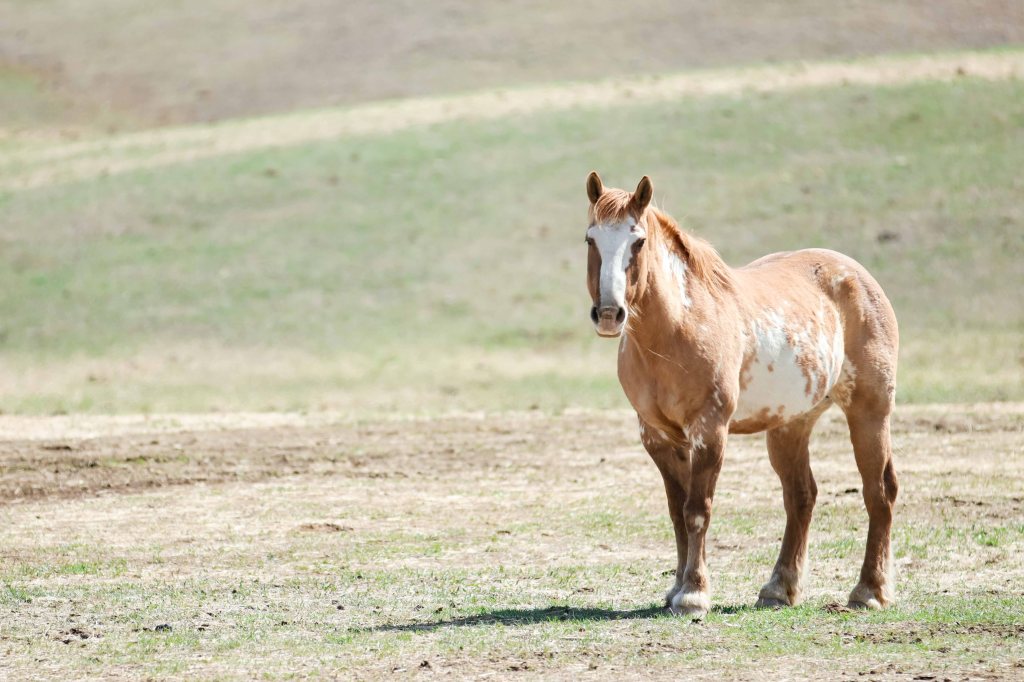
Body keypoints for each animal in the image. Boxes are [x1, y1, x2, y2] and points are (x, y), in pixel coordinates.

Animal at [583, 172, 899, 619]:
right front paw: (675, 588)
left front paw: (693, 594)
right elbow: (677, 513)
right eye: (591, 239)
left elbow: (697, 510)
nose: (610, 314)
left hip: (870, 413)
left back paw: (869, 591)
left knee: (879, 491)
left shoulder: (709, 430)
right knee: (801, 497)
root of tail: (858, 275)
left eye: (638, 241)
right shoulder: (658, 437)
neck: (676, 330)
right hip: (790, 426)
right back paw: (778, 589)